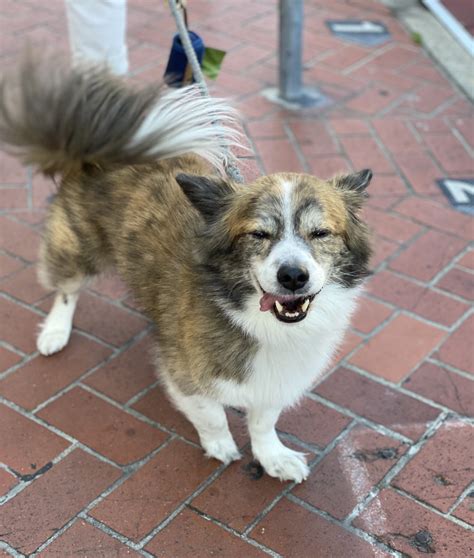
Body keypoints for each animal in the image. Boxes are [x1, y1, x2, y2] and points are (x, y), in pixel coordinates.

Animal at [0, 58, 370, 486]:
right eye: (259, 234)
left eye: (320, 233)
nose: (293, 276)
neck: (252, 315)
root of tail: (97, 147)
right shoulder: (185, 374)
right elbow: (211, 415)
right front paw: (221, 446)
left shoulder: (273, 380)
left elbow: (263, 422)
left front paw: (272, 456)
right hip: (79, 247)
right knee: (66, 287)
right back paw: (55, 332)